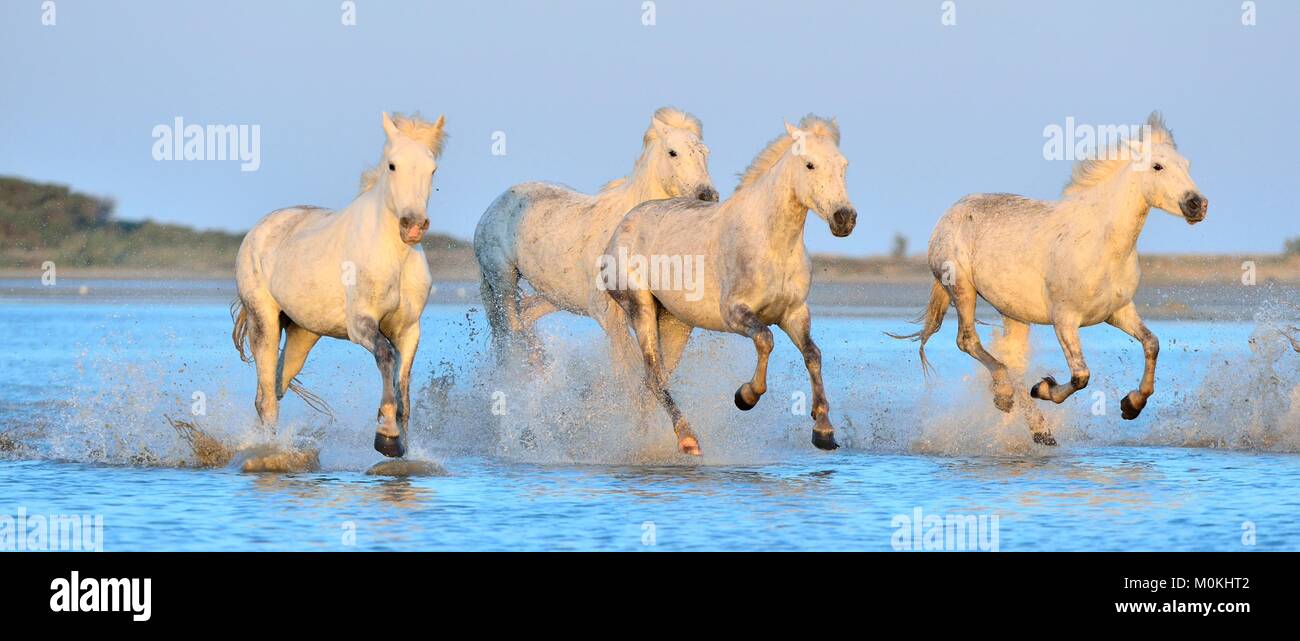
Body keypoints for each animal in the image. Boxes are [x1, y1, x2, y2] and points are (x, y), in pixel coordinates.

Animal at [236, 112, 449, 457]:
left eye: (433, 169)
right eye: (392, 165)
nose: (413, 226)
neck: (394, 256)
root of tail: (259, 228)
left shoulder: (409, 328)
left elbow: (404, 384)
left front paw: (400, 440)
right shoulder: (360, 324)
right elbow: (386, 356)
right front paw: (387, 434)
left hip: (303, 333)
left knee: (277, 385)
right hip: (263, 321)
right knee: (266, 398)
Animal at [475, 105, 722, 369]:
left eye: (705, 153)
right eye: (672, 152)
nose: (708, 195)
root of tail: (495, 205)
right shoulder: (609, 315)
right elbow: (628, 367)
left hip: (555, 295)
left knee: (525, 318)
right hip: (503, 281)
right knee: (512, 331)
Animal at [603, 116, 857, 455]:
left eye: (843, 164)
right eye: (810, 164)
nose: (845, 219)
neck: (772, 243)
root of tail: (625, 223)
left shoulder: (794, 313)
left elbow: (813, 355)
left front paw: (824, 430)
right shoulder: (736, 314)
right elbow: (765, 340)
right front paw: (745, 396)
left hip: (673, 322)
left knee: (653, 381)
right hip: (640, 306)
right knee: (654, 374)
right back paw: (687, 438)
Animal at [894, 111, 1206, 444]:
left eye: (1187, 165)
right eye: (1157, 166)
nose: (1197, 204)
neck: (1100, 242)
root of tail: (949, 214)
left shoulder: (1118, 311)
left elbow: (1152, 344)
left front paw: (1131, 405)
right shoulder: (1065, 319)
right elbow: (1081, 376)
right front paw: (1044, 387)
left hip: (1014, 312)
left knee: (1012, 360)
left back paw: (1038, 428)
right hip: (962, 288)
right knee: (969, 341)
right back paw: (1006, 397)